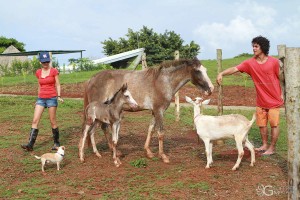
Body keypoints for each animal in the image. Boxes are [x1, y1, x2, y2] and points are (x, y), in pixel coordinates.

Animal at [82, 57, 213, 162]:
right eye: (197, 71)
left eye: (206, 70)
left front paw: (148, 152)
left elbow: (151, 129)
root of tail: (91, 79)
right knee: (102, 128)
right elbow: (160, 132)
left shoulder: (154, 111)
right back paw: (113, 151)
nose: (211, 89)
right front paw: (163, 156)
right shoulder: (159, 111)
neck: (163, 81)